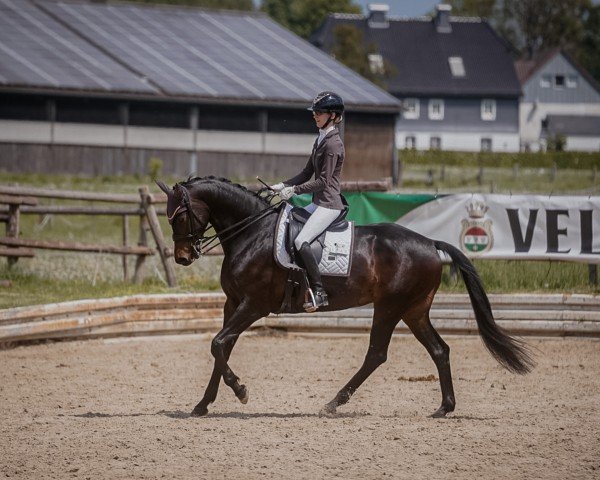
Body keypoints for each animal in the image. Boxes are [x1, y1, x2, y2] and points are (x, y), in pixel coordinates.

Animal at [157, 178, 532, 418]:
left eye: (180, 214)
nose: (183, 257)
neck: (252, 232)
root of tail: (430, 242)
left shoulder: (254, 305)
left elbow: (219, 344)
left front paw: (240, 391)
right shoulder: (233, 304)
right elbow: (222, 348)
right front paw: (203, 405)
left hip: (390, 306)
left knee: (377, 354)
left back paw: (334, 403)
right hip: (414, 309)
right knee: (439, 350)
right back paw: (444, 407)